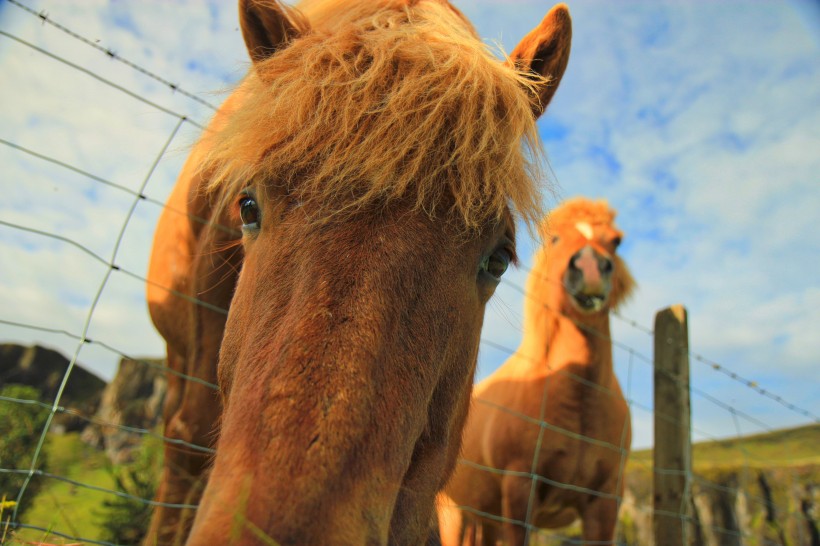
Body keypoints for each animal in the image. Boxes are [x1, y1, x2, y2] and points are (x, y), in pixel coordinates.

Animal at [438, 198, 636, 540]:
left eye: (615, 240)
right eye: (554, 239)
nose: (590, 269)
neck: (579, 403)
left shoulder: (606, 500)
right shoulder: (520, 489)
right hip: (454, 516)